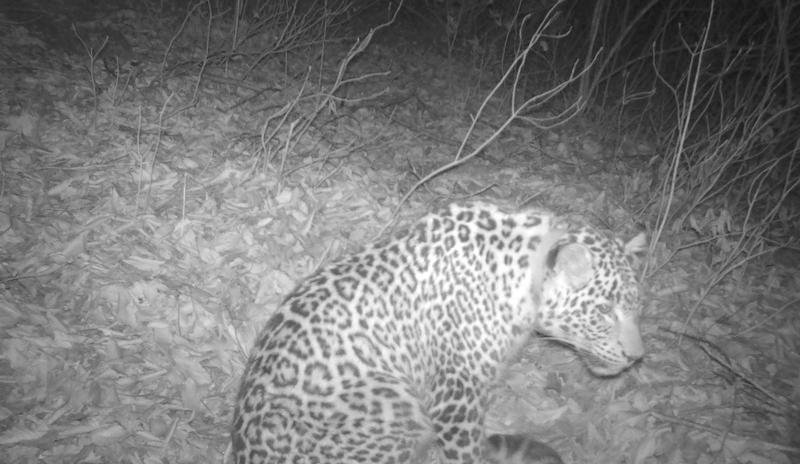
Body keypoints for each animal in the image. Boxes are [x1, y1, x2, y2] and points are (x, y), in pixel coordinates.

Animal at [231, 201, 647, 464]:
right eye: (604, 311)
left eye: (634, 306)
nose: (636, 357)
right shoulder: (456, 395)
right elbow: (465, 454)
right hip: (399, 413)